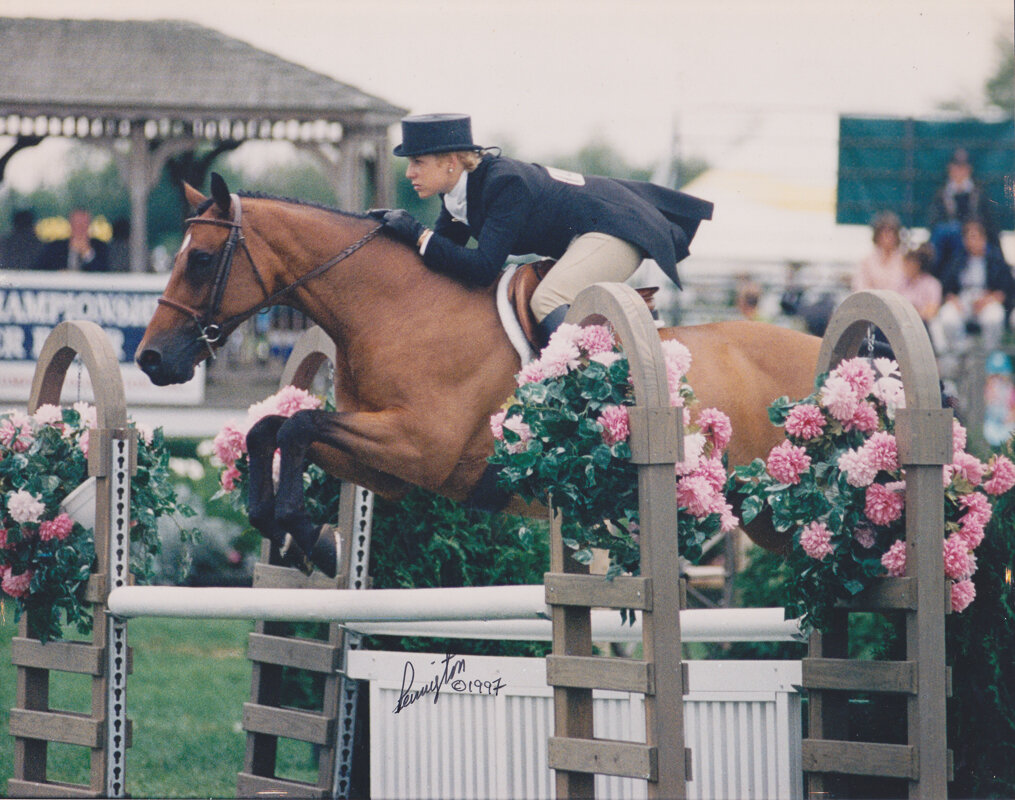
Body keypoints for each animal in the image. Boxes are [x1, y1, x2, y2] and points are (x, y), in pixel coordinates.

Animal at [134, 173, 820, 576]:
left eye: (200, 259)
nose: (150, 360)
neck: (399, 310)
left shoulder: (418, 446)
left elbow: (297, 427)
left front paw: (313, 536)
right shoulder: (387, 468)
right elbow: (270, 431)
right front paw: (295, 532)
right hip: (769, 517)